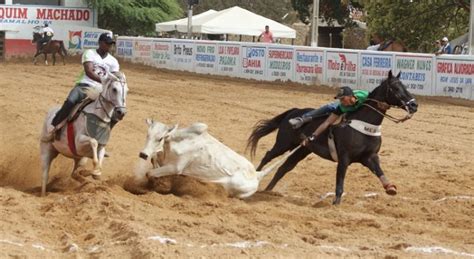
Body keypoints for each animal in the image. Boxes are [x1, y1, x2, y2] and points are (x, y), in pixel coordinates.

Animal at [248, 71, 418, 205]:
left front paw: (390, 188)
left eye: (405, 86)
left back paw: (268, 191)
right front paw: (336, 203)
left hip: (302, 150)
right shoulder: (344, 158)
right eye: (395, 88)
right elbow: (340, 183)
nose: (414, 105)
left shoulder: (370, 156)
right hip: (283, 143)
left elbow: (379, 171)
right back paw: (255, 177)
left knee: (283, 168)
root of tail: (294, 111)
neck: (364, 124)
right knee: (268, 156)